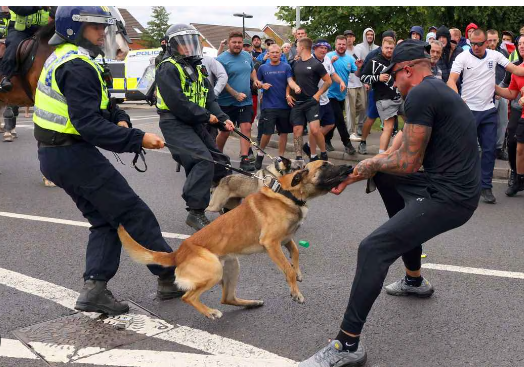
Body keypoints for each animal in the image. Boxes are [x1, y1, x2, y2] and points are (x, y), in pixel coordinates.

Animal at [118, 161, 354, 320]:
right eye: (324, 165)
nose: (351, 168)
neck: (287, 193)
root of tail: (178, 253)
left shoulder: (286, 239)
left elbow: (295, 253)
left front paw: (299, 273)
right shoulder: (272, 243)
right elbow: (286, 269)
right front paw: (296, 292)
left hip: (232, 265)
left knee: (227, 298)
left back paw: (251, 303)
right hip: (214, 270)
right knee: (189, 297)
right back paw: (210, 312)